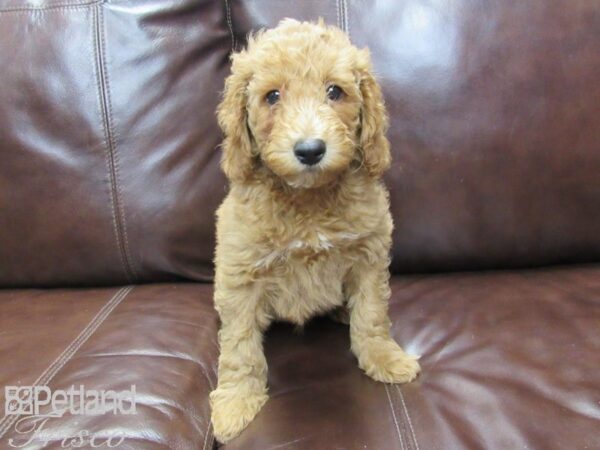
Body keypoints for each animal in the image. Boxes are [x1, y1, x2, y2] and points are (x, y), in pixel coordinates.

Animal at [211, 18, 422, 442]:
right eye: (272, 96)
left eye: (335, 91)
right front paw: (236, 403)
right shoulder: (240, 273)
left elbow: (372, 315)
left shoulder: (369, 255)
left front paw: (384, 357)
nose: (310, 150)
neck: (307, 201)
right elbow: (239, 346)